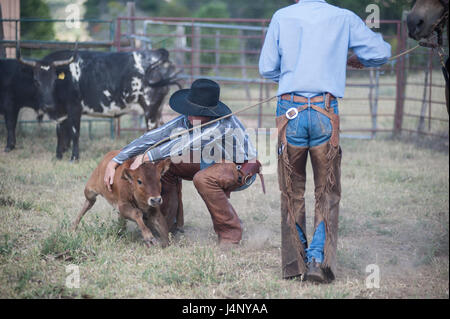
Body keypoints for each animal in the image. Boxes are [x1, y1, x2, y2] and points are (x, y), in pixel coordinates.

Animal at [41, 48, 179, 161]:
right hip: (158, 109)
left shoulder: (74, 107)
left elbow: (74, 133)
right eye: (37, 81)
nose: (47, 104)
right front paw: (59, 155)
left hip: (150, 107)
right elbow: (60, 132)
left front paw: (74, 158)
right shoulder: (62, 112)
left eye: (54, 80)